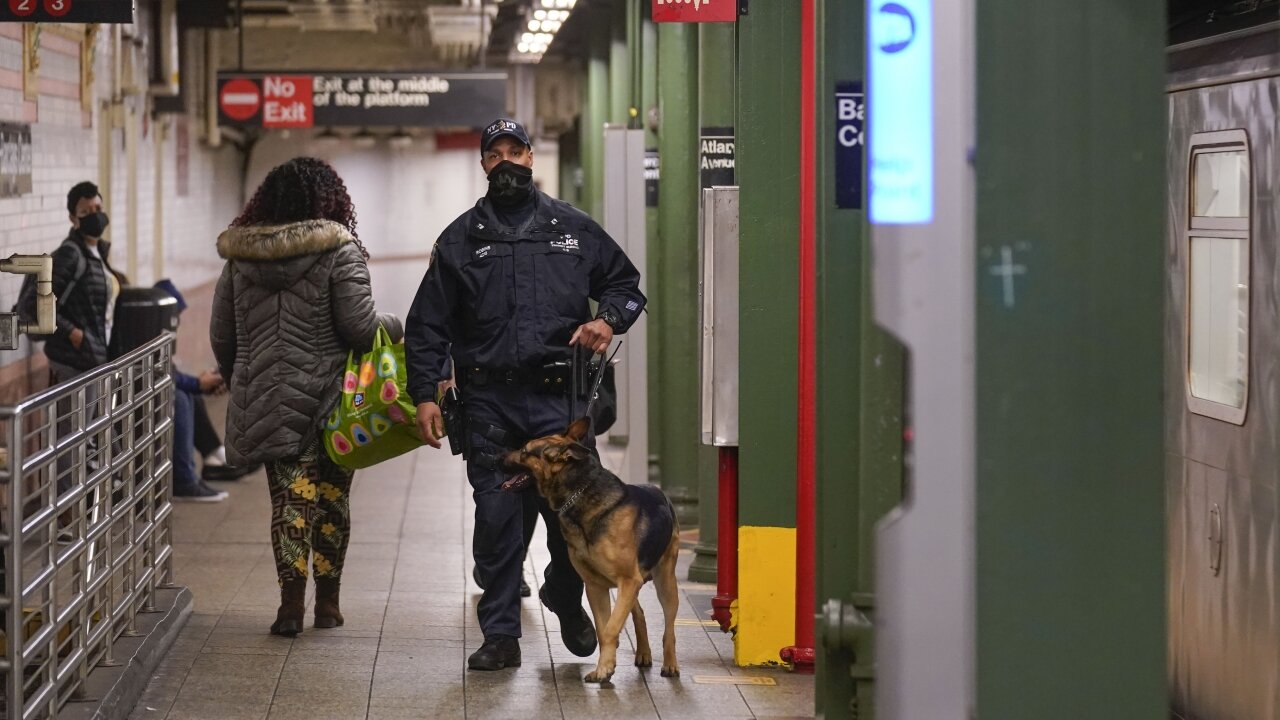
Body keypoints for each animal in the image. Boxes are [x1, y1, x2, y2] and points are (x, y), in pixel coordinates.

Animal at [499, 415, 680, 676]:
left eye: (524, 452)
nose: (496, 457)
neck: (581, 493)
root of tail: (659, 491)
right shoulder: (596, 586)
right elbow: (604, 631)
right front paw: (604, 668)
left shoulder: (627, 581)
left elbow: (612, 627)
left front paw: (605, 668)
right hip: (632, 586)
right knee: (639, 613)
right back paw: (644, 653)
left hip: (665, 582)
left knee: (669, 627)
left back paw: (670, 664)